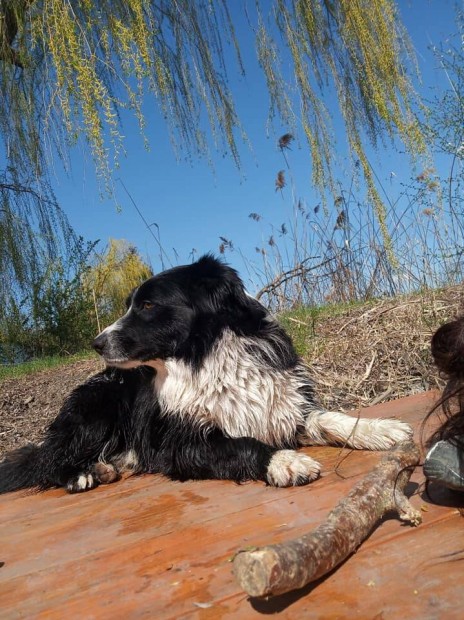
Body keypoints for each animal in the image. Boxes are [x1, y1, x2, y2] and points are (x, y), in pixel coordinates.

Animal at [0, 253, 414, 494]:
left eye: (147, 305)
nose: (97, 343)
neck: (209, 358)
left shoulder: (283, 406)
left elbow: (330, 417)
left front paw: (380, 429)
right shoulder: (182, 442)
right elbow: (239, 444)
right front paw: (283, 461)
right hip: (95, 412)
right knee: (48, 461)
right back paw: (81, 475)